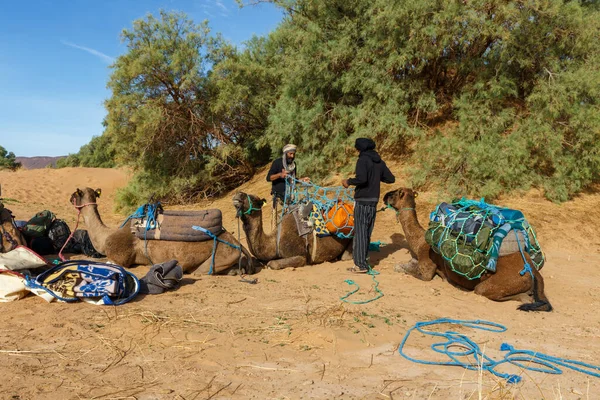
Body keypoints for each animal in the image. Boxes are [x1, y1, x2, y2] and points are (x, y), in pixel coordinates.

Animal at [69, 188, 253, 276]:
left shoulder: (120, 258)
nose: (69, 199)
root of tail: (238, 244)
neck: (105, 235)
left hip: (219, 256)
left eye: (74, 194)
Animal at [382, 188, 552, 312]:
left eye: (394, 193)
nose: (384, 196)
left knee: (487, 291)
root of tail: (532, 269)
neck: (418, 242)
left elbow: (416, 273)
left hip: (499, 283)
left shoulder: (427, 266)